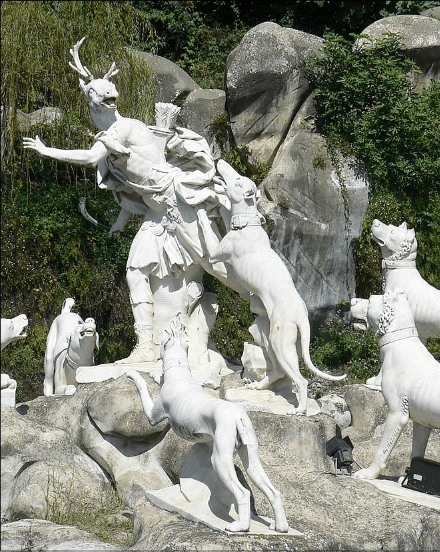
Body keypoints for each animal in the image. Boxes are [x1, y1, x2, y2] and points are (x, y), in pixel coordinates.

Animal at [125, 314, 288, 536]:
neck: (180, 372)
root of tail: (237, 416)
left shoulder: (152, 415)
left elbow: (141, 386)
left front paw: (134, 374)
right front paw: (156, 375)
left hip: (220, 460)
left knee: (243, 493)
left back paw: (240, 526)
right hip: (252, 460)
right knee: (273, 491)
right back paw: (279, 527)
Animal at [198, 160, 346, 414]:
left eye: (238, 180)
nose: (220, 162)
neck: (246, 224)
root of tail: (302, 315)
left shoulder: (217, 251)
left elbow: (208, 233)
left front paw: (199, 209)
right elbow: (226, 212)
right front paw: (215, 198)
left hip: (280, 340)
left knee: (300, 379)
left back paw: (298, 410)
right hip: (265, 332)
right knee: (277, 370)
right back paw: (257, 387)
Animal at [350, 288, 440, 478]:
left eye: (369, 300)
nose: (352, 301)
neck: (399, 344)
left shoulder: (397, 413)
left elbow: (382, 450)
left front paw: (369, 474)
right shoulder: (422, 422)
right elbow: (416, 453)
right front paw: (406, 478)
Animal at [368, 218, 440, 386]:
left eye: (392, 232)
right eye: (391, 226)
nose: (375, 221)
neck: (399, 269)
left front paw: (377, 382)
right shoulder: (420, 333)